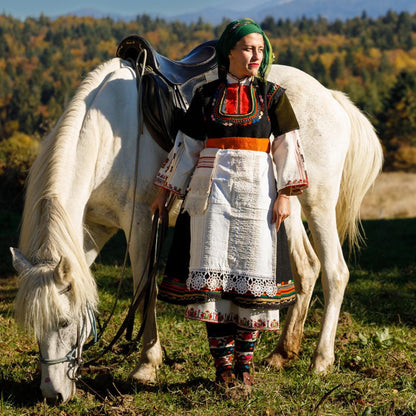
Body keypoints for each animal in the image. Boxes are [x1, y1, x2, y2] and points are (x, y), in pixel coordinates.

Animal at [9, 57, 382, 402]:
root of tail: (331, 98)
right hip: (285, 209)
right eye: (34, 327)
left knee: (335, 271)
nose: (52, 395)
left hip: (318, 203)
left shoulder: (142, 222)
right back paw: (281, 353)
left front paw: (147, 365)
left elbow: (146, 288)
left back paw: (321, 360)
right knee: (306, 266)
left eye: (64, 323)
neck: (107, 138)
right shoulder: (92, 229)